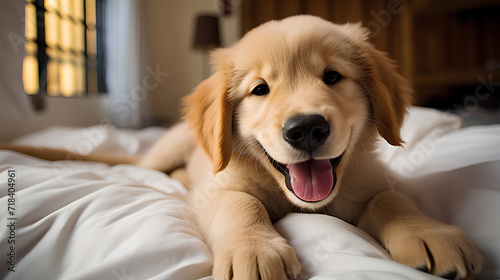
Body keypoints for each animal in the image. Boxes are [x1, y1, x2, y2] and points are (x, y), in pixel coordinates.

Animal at [142, 15, 484, 280]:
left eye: (332, 76)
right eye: (260, 89)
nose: (306, 129)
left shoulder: (366, 184)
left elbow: (388, 197)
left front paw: (427, 233)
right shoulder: (211, 192)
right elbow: (240, 201)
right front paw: (254, 250)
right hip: (167, 150)